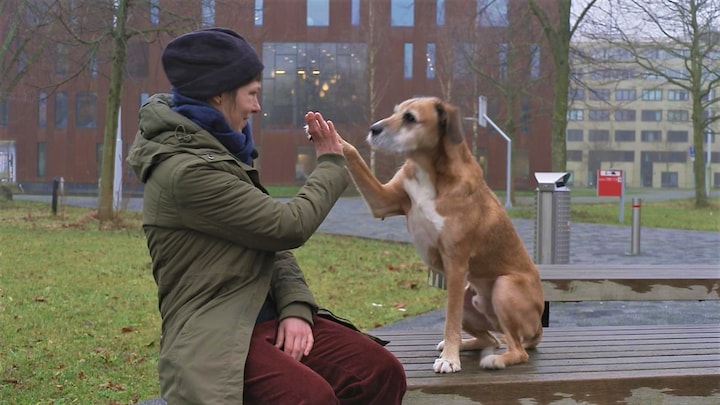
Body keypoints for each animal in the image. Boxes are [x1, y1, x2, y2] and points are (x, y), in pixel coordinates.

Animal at [340, 96, 544, 370]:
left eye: (410, 118)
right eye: (395, 112)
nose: (374, 129)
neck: (429, 171)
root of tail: (538, 329)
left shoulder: (456, 264)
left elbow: (450, 320)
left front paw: (449, 359)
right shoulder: (381, 201)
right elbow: (353, 156)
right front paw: (327, 133)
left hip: (504, 287)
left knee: (517, 349)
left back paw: (495, 359)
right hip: (471, 298)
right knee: (491, 338)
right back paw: (467, 344)